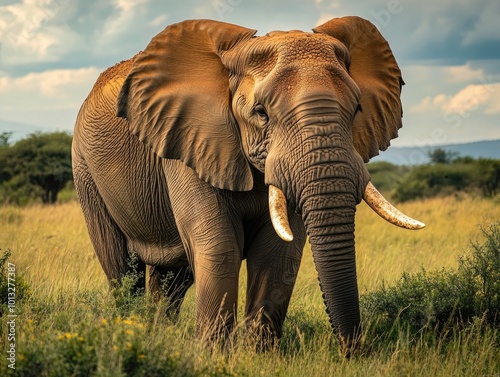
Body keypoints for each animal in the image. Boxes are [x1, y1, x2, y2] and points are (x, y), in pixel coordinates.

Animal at [72, 16, 424, 354]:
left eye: (357, 110)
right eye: (261, 113)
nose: (354, 351)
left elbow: (276, 253)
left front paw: (258, 356)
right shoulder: (189, 143)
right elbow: (220, 247)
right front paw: (214, 357)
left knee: (172, 278)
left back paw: (159, 339)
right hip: (85, 170)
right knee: (121, 267)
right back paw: (128, 332)